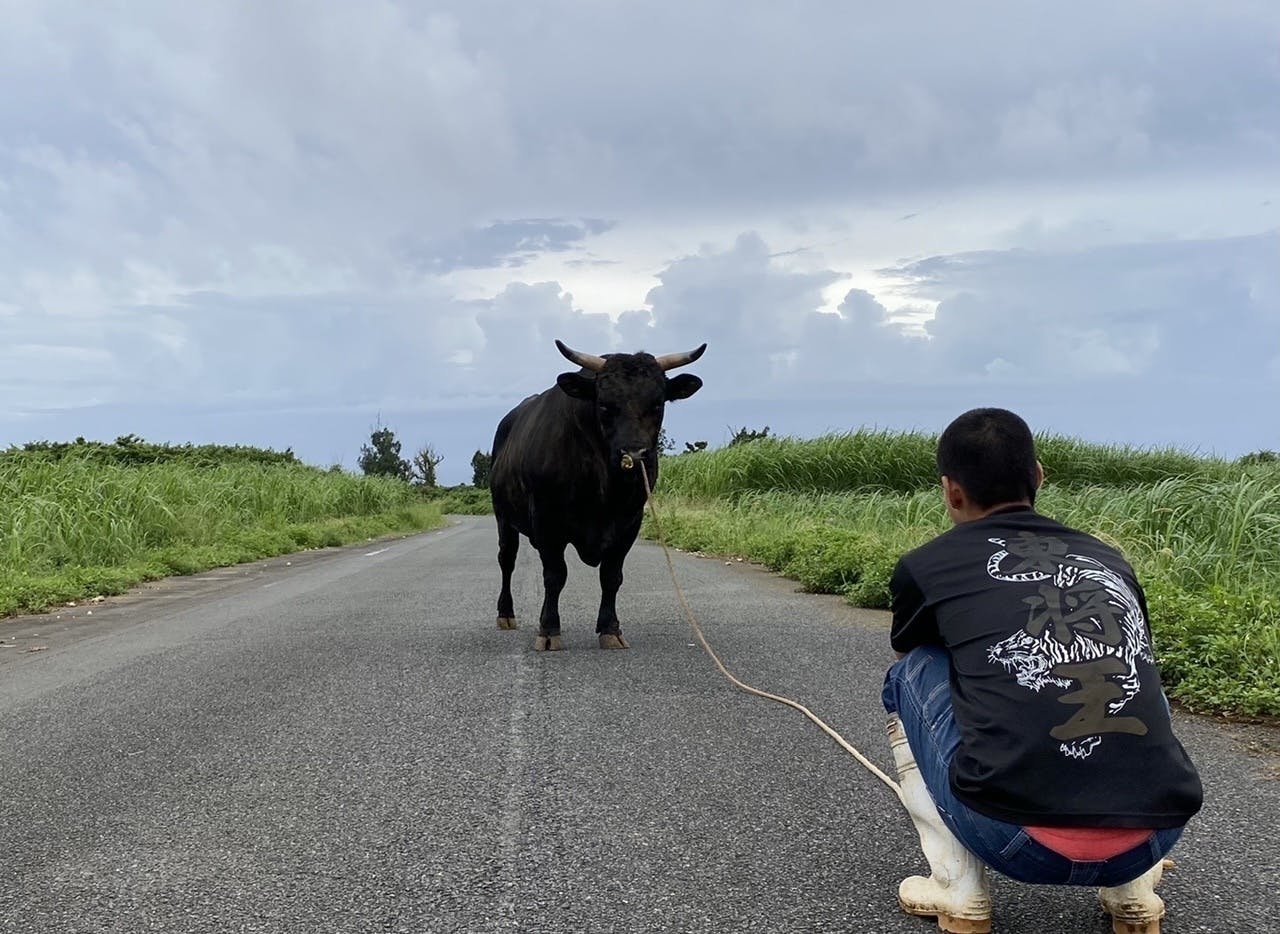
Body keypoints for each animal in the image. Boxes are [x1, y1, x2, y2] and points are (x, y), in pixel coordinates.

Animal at [488, 340, 711, 647]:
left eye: (657, 404)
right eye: (604, 405)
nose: (634, 455)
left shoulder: (630, 522)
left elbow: (611, 576)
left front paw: (610, 628)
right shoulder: (547, 521)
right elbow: (555, 575)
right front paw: (548, 629)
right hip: (503, 518)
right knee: (506, 560)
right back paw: (506, 613)